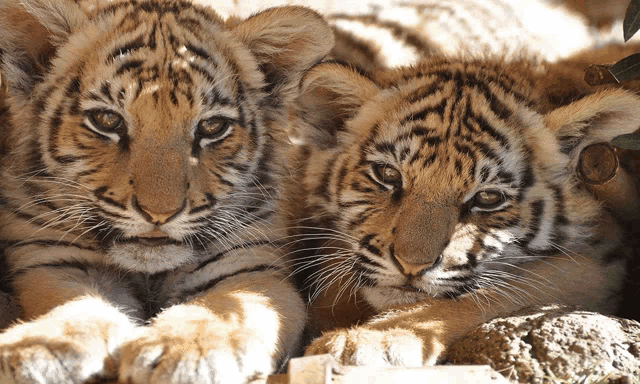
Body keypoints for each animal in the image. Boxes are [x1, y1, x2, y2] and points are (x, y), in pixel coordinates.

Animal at [1, 1, 336, 382]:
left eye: (212, 126)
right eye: (107, 121)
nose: (159, 214)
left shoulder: (251, 270)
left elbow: (217, 314)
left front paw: (183, 352)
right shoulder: (57, 260)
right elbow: (75, 305)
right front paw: (38, 349)